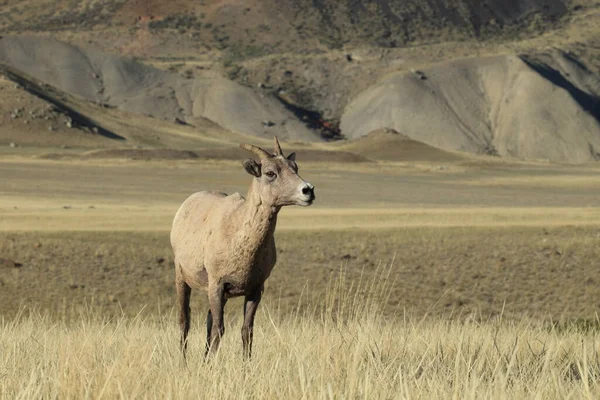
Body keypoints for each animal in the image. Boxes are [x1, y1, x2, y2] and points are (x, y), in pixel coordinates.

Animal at [171, 136, 316, 358]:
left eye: (295, 167)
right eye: (270, 173)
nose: (308, 191)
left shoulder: (255, 290)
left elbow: (246, 331)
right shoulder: (217, 285)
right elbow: (219, 329)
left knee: (207, 321)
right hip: (182, 280)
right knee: (184, 322)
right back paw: (184, 361)